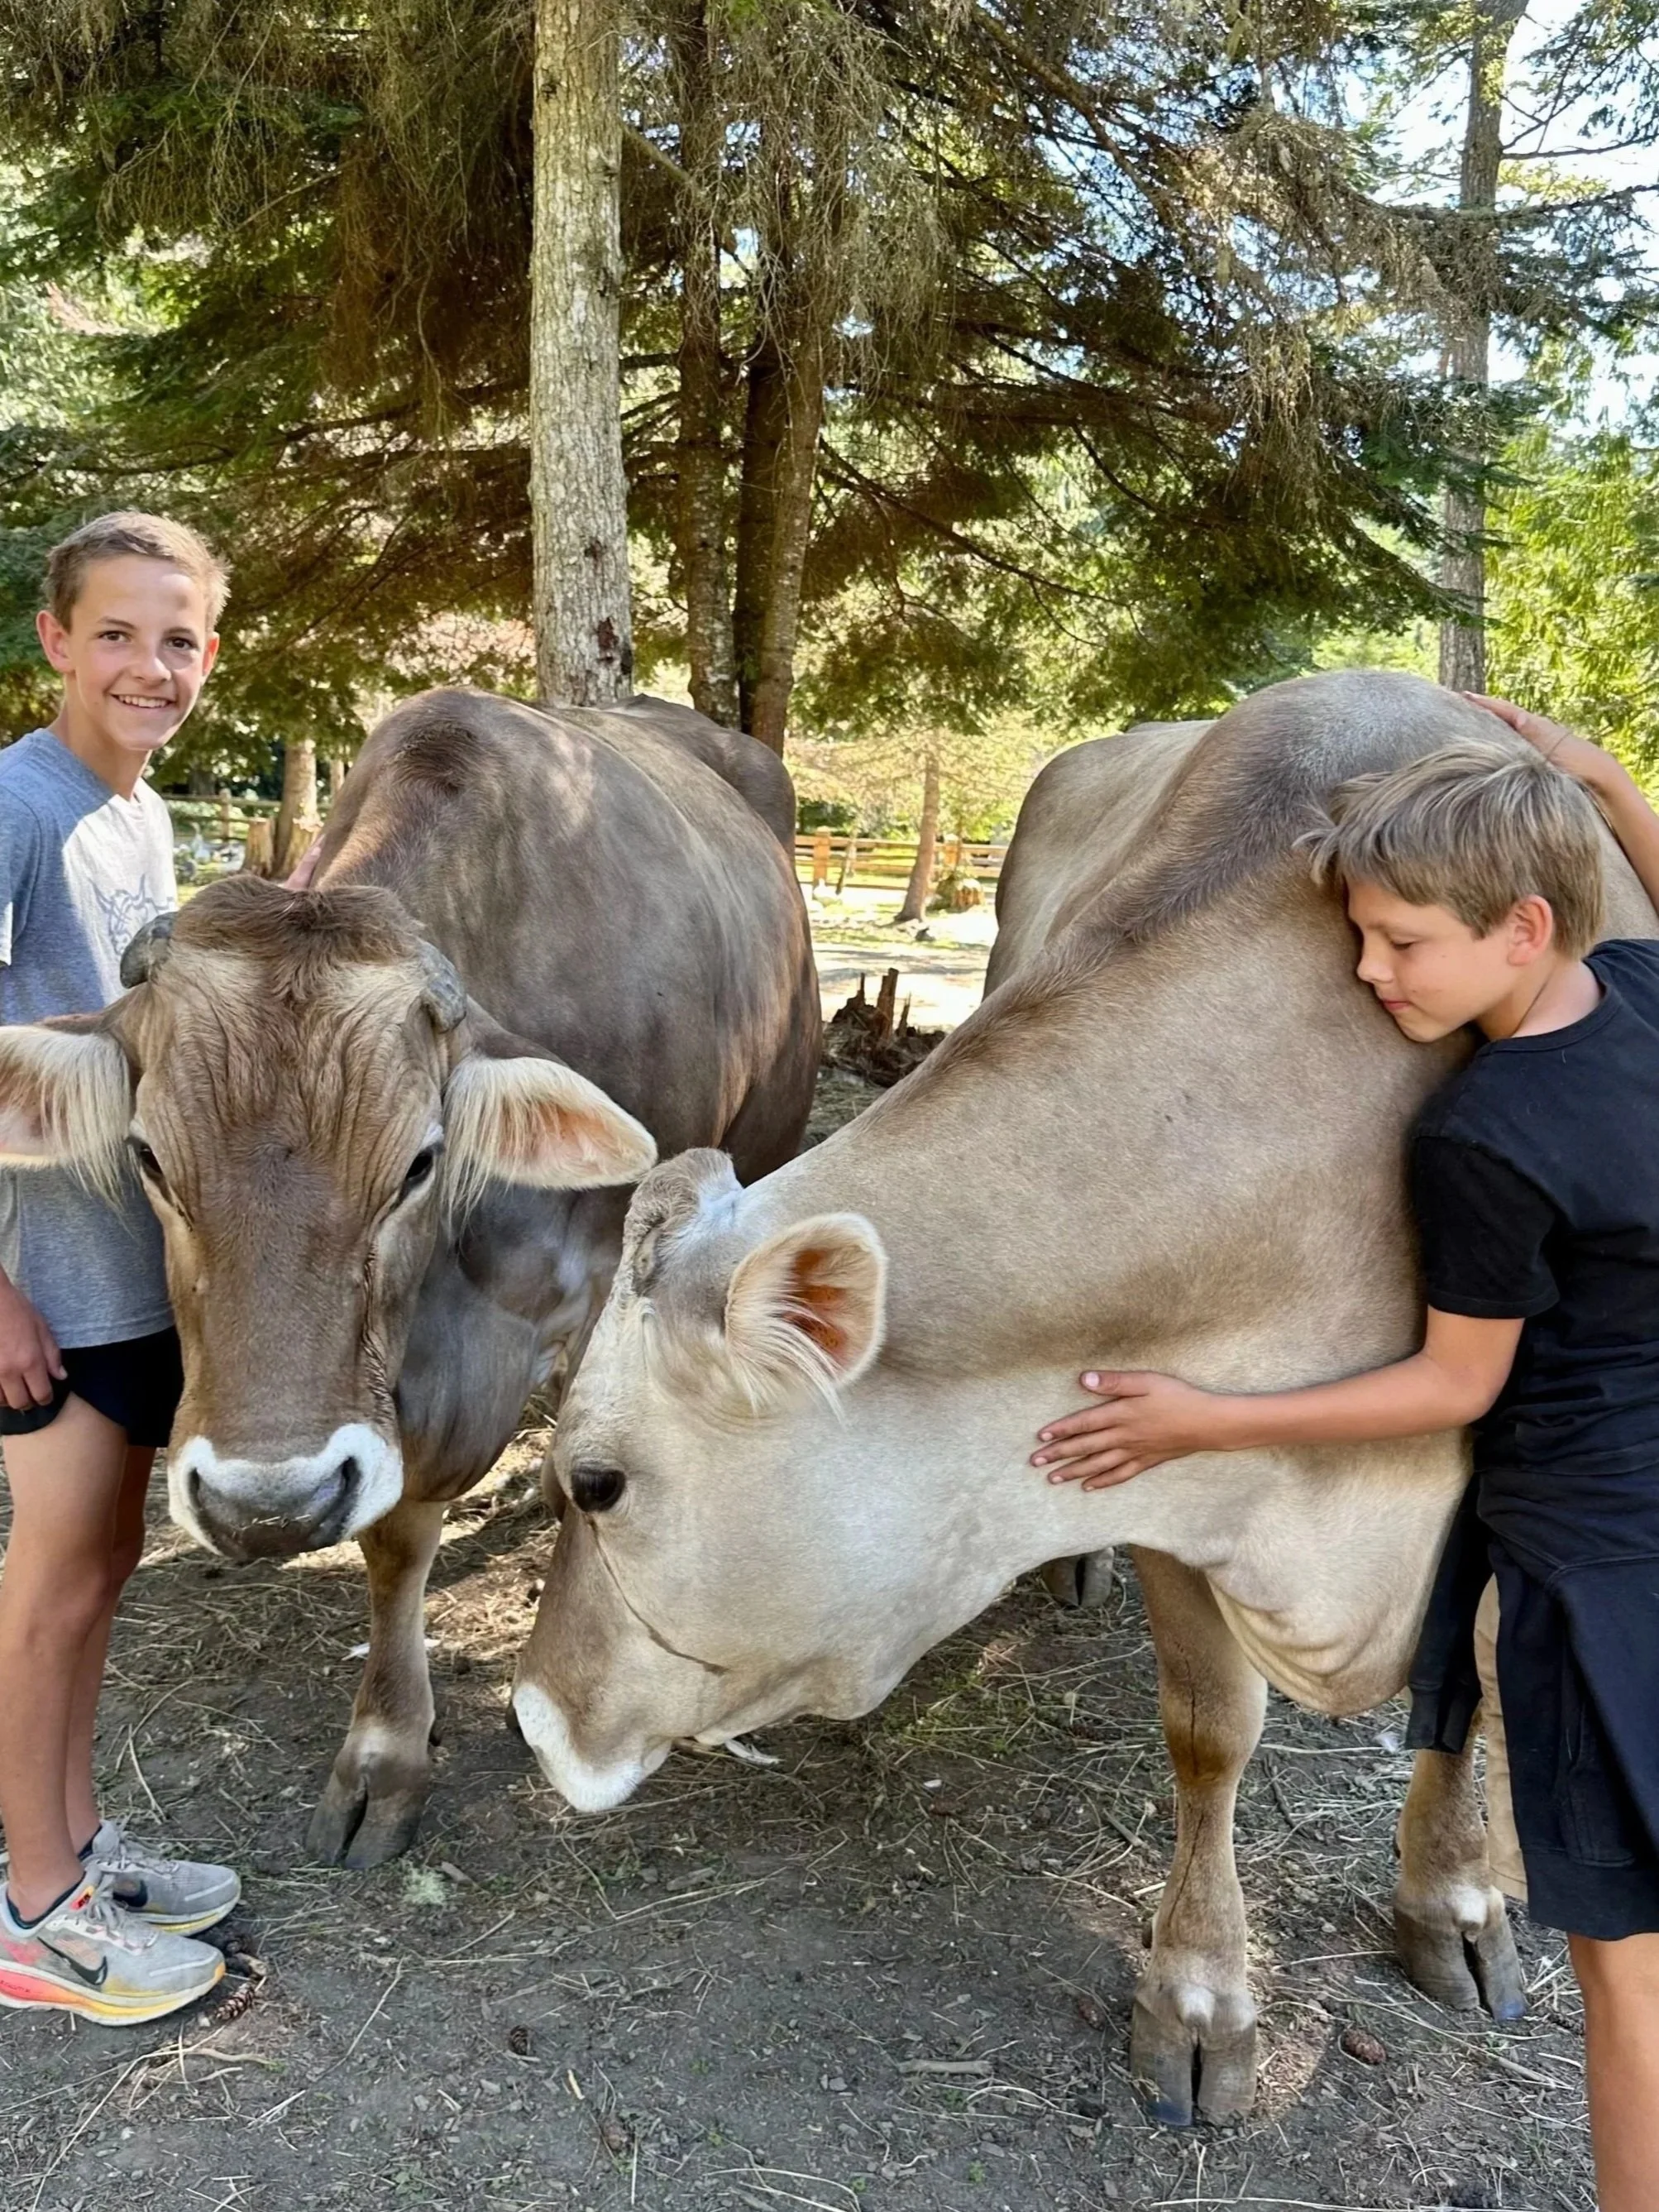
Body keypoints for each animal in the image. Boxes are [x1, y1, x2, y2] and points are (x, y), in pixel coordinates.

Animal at [506, 669, 1659, 2126]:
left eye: (596, 1480)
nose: (533, 1715)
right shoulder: (1164, 1473)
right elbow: (1209, 1730)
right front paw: (1201, 1999)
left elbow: (1474, 1691)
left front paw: (1454, 1901)